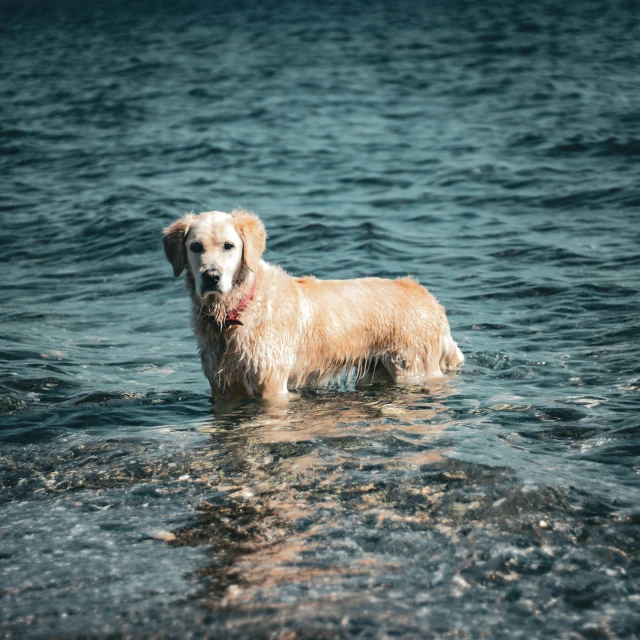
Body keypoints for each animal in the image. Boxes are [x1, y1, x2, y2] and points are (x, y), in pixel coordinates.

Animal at [162, 211, 462, 400]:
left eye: (228, 246)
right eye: (196, 247)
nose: (211, 277)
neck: (237, 309)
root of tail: (431, 300)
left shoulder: (271, 384)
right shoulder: (223, 385)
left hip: (411, 367)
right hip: (375, 370)